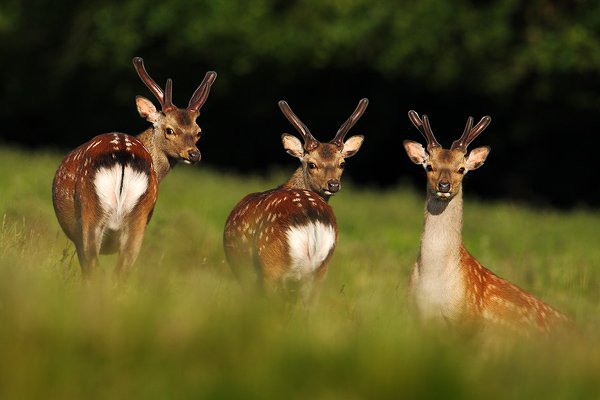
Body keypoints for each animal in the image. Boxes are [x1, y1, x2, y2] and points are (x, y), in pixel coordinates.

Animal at [51, 57, 216, 278]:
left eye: (198, 132)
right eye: (169, 130)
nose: (194, 154)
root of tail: (123, 155)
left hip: (91, 210)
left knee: (94, 267)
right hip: (140, 214)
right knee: (123, 268)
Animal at [224, 97, 368, 304]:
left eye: (342, 163)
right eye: (312, 164)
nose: (333, 184)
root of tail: (312, 221)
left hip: (272, 264)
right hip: (321, 268)